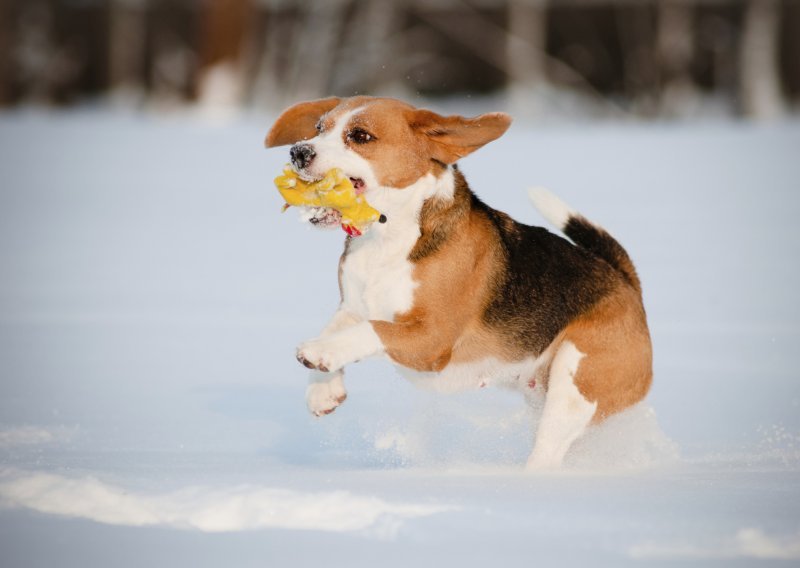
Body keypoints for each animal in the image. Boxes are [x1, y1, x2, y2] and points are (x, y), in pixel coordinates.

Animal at [266, 97, 652, 470]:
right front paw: (323, 389)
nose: (299, 152)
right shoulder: (354, 304)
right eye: (319, 128)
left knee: (547, 453)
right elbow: (338, 327)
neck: (390, 233)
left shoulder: (432, 339)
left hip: (574, 384)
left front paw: (318, 353)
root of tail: (626, 282)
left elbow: (370, 330)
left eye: (360, 136)